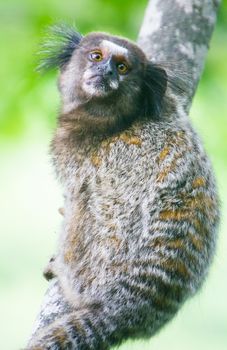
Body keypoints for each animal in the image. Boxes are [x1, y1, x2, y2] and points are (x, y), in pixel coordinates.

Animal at [25, 23, 219, 348]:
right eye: (96, 56)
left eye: (122, 67)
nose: (105, 71)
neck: (120, 121)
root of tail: (128, 308)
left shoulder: (78, 156)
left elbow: (78, 195)